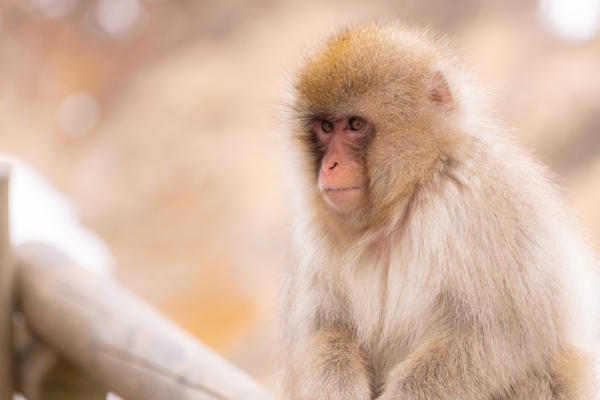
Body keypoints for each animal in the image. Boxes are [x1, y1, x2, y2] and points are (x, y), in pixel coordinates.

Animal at [280, 23, 600, 400]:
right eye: (326, 128)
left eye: (355, 125)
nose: (329, 166)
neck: (403, 200)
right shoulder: (314, 233)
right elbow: (325, 328)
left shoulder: (485, 201)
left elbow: (504, 333)